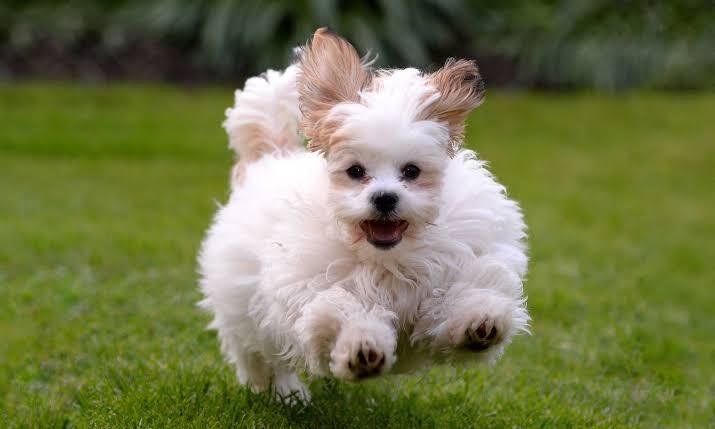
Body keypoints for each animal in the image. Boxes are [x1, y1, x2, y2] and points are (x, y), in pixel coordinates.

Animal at [198, 28, 529, 403]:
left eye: (412, 171)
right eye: (355, 171)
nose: (384, 198)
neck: (389, 259)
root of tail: (271, 156)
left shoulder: (454, 267)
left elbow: (461, 296)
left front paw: (479, 323)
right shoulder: (317, 289)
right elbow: (343, 311)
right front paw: (361, 349)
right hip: (246, 308)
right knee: (262, 355)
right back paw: (286, 392)